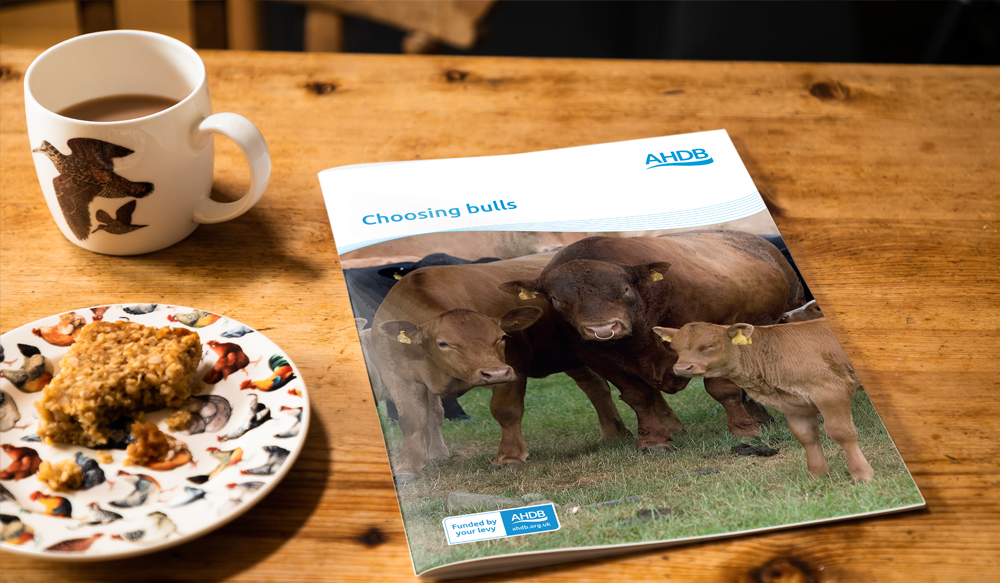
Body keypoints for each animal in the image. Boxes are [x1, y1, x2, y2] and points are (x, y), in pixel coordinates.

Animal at [371, 253, 632, 483]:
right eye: (443, 343)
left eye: (502, 337)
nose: (494, 372)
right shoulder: (395, 374)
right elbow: (411, 419)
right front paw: (407, 467)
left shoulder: (514, 363)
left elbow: (506, 409)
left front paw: (509, 456)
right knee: (596, 387)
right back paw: (613, 433)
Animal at [499, 231, 805, 453]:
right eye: (557, 299)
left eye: (624, 288)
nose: (603, 328)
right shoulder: (599, 360)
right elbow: (639, 397)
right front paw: (653, 440)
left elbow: (722, 388)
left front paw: (744, 429)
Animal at [653, 319, 874, 482]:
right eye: (675, 348)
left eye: (709, 345)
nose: (682, 368)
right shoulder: (794, 404)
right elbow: (806, 437)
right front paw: (817, 476)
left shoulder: (830, 392)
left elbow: (842, 432)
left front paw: (862, 474)